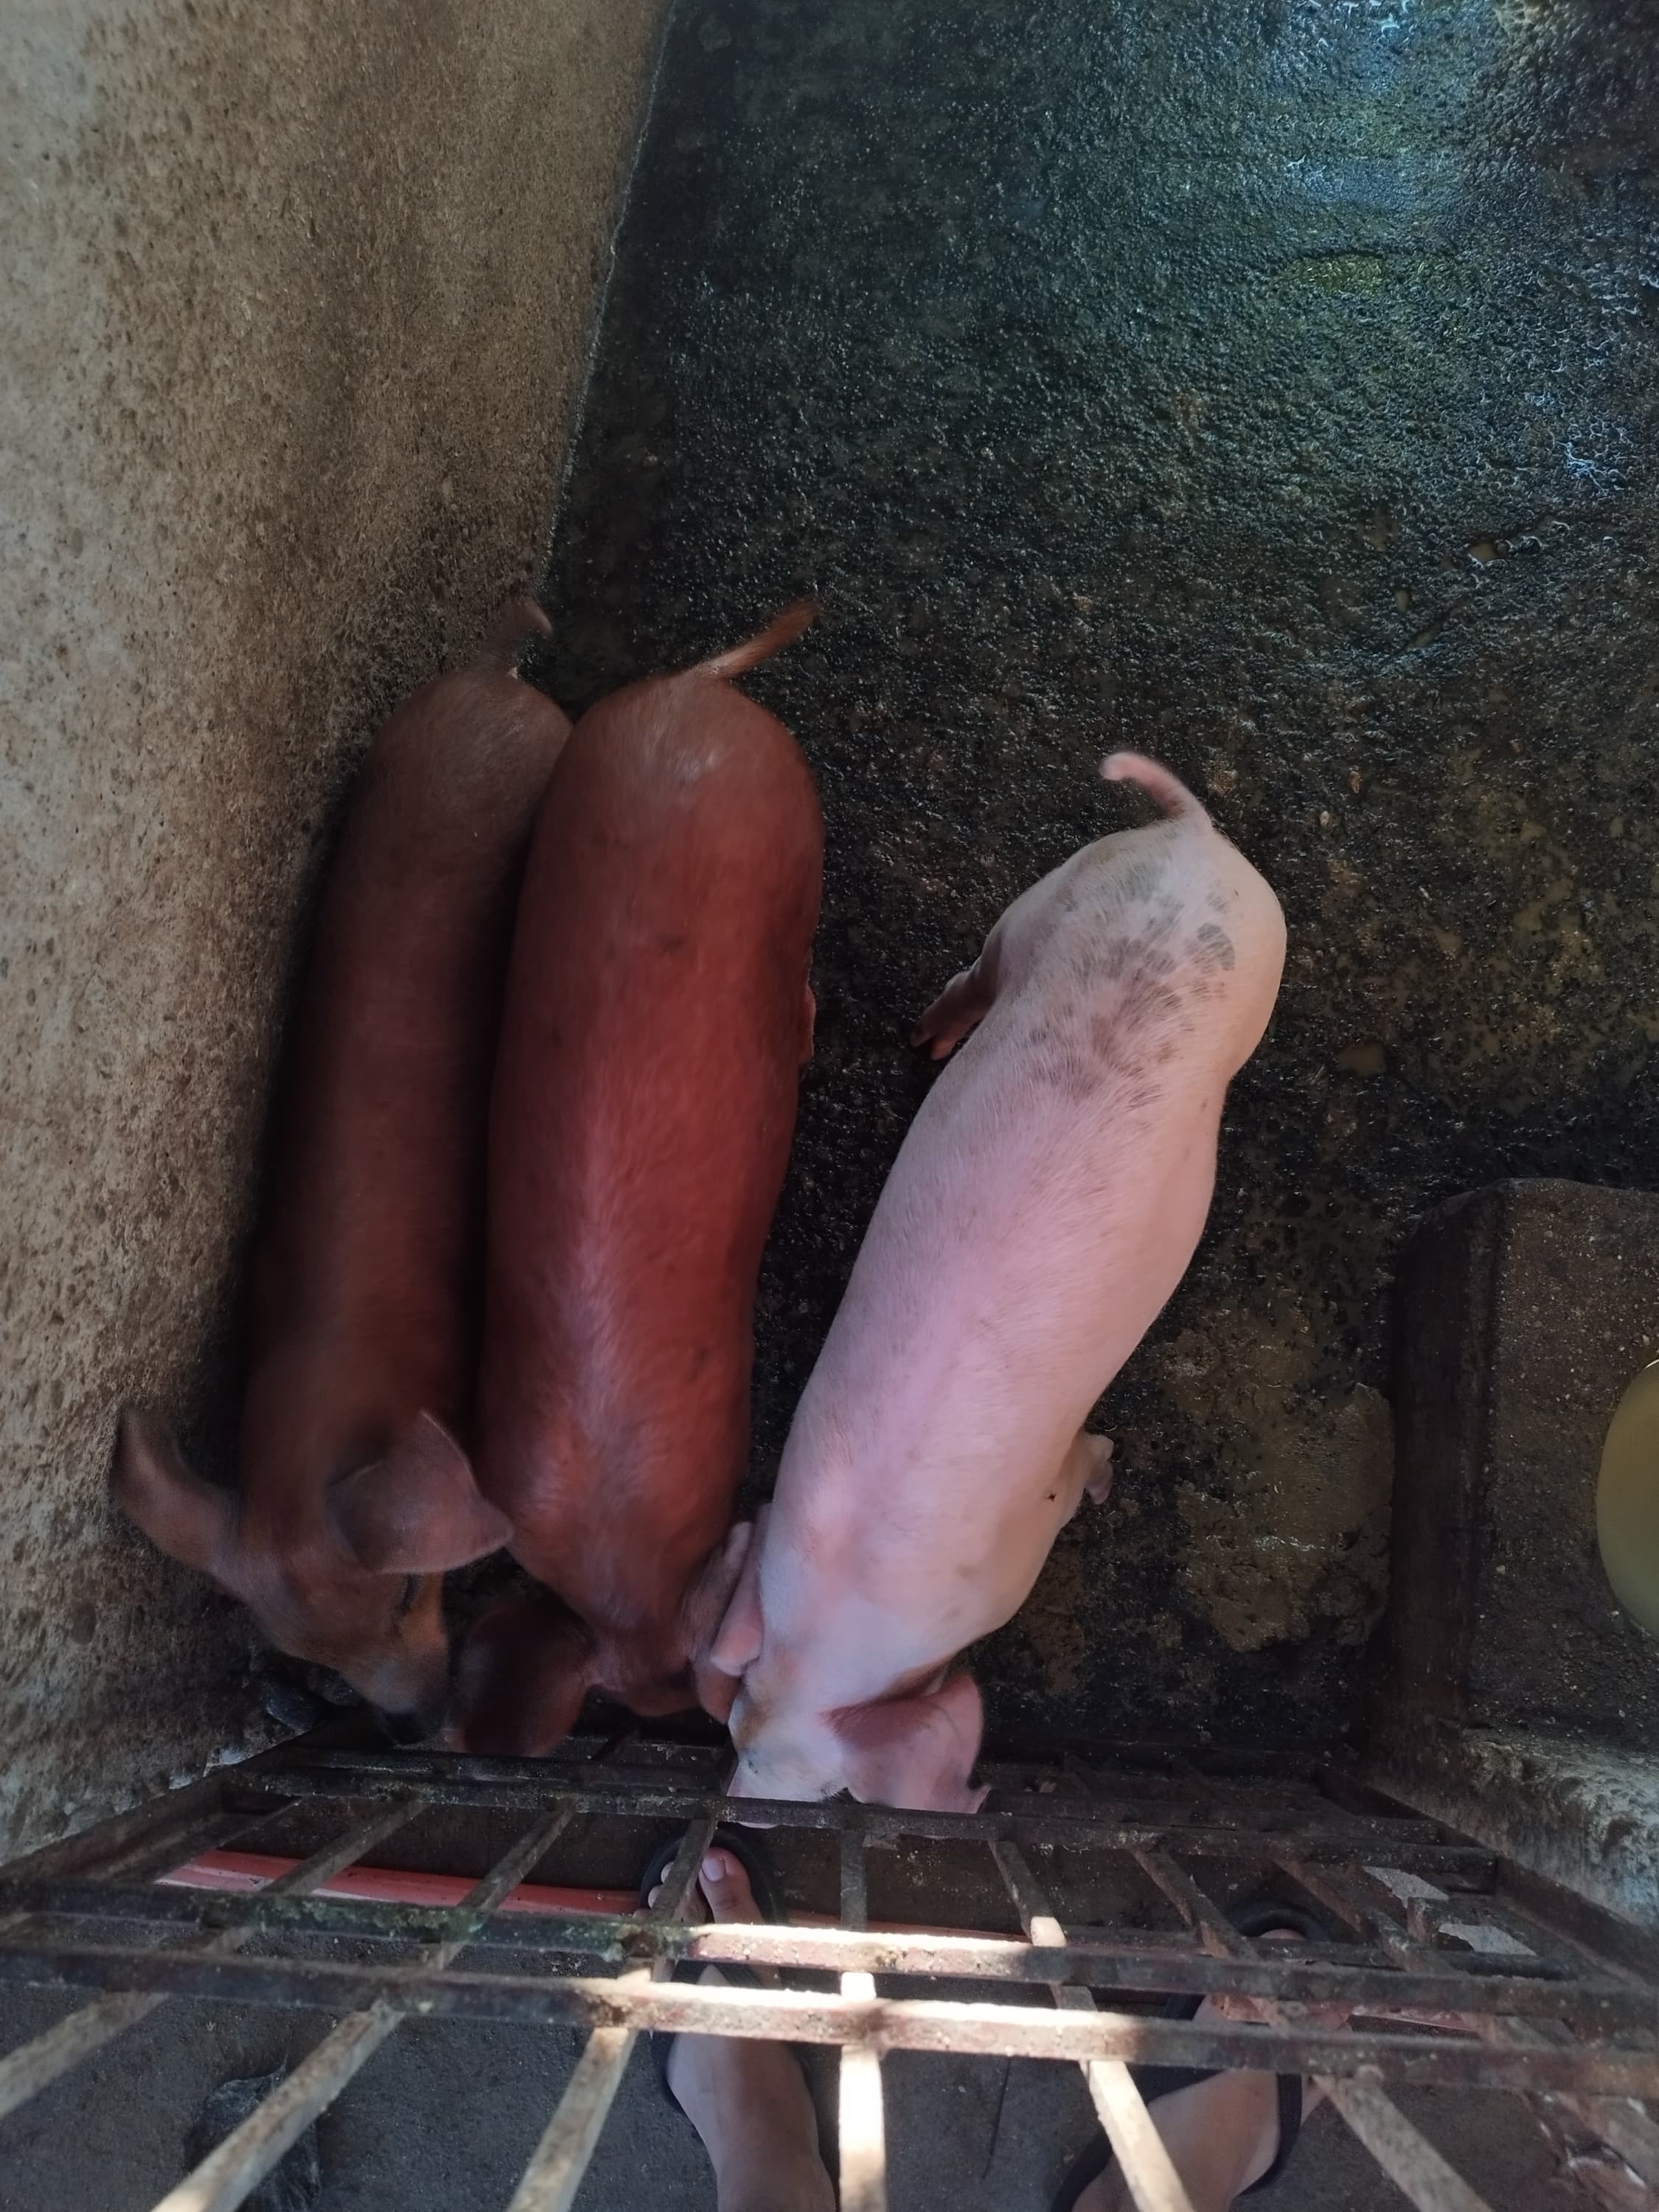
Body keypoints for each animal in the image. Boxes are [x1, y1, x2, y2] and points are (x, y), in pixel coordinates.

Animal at [708, 753, 1286, 1809]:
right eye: (730, 1730)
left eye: (828, 1796)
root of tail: (1193, 840)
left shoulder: (1016, 1557)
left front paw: (1107, 1472)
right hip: (1060, 898)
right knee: (978, 970)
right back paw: (929, 1044)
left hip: (1147, 914)